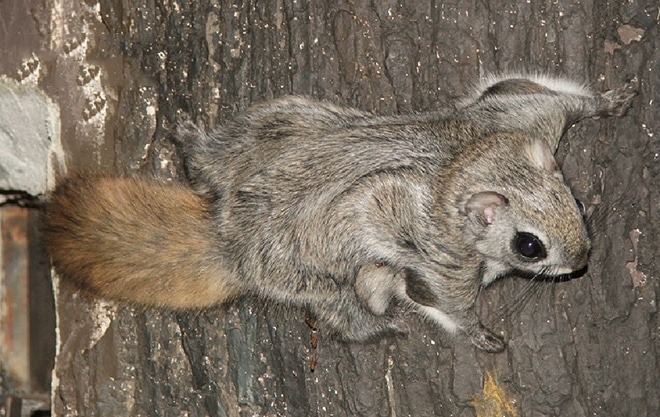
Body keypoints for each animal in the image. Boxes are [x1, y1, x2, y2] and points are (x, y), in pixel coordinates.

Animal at [40, 74, 636, 352]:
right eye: (529, 246)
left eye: (578, 204)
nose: (580, 261)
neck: (468, 165)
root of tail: (228, 237)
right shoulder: (442, 255)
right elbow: (448, 299)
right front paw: (477, 333)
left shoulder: (524, 112)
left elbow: (553, 96)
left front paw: (610, 102)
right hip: (316, 280)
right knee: (347, 313)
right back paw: (382, 326)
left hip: (283, 121)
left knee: (218, 157)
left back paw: (194, 148)